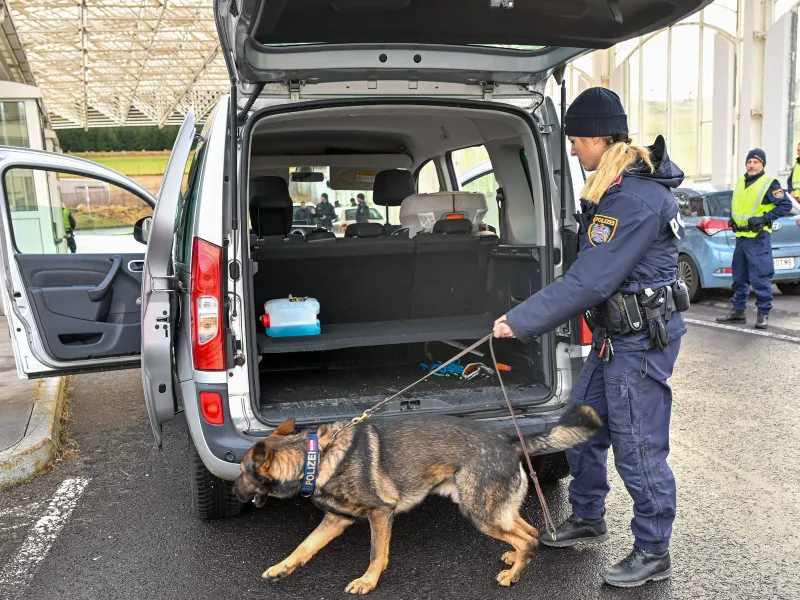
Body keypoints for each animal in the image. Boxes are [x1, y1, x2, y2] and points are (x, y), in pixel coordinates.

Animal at [234, 406, 604, 592]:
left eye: (242, 472)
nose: (233, 492)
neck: (316, 457)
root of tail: (511, 441)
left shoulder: (380, 513)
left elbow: (376, 553)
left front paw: (368, 582)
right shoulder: (336, 519)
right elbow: (304, 546)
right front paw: (282, 569)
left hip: (478, 513)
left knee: (529, 539)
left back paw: (512, 577)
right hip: (494, 510)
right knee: (532, 533)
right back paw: (515, 559)